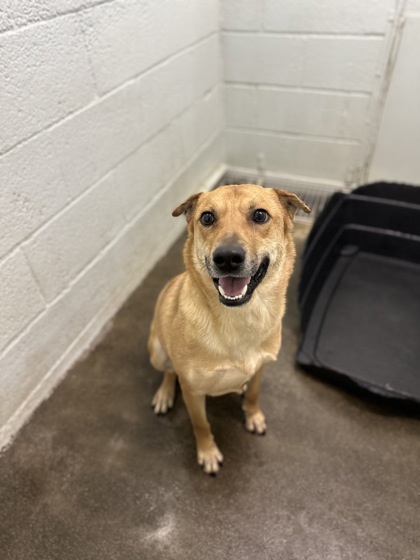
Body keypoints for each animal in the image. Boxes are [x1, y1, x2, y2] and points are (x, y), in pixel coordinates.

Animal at [148, 184, 308, 472]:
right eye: (207, 217)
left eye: (260, 215)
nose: (227, 258)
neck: (239, 318)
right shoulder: (193, 391)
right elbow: (201, 424)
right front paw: (208, 452)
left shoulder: (260, 368)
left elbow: (253, 394)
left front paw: (253, 416)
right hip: (156, 350)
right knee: (168, 371)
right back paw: (165, 394)